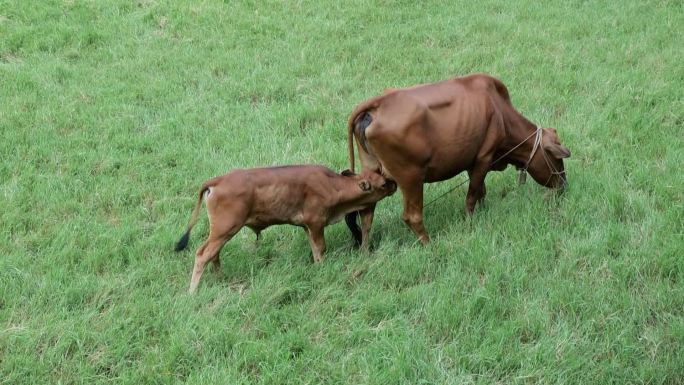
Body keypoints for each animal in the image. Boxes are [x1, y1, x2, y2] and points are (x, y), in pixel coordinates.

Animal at [176, 164, 396, 292]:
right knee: (203, 254)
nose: (394, 183)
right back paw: (193, 292)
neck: (333, 185)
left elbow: (315, 249)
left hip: (221, 233)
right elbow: (321, 248)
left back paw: (220, 277)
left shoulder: (307, 226)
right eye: (383, 183)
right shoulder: (316, 222)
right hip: (224, 230)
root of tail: (218, 180)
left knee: (214, 254)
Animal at [348, 73, 572, 244]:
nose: (563, 185)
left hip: (372, 175)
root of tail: (378, 104)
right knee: (412, 216)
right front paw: (470, 223)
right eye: (557, 158)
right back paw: (429, 245)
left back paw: (366, 250)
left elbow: (481, 191)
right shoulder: (484, 157)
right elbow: (472, 195)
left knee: (367, 217)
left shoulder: (472, 162)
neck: (500, 112)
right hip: (411, 178)